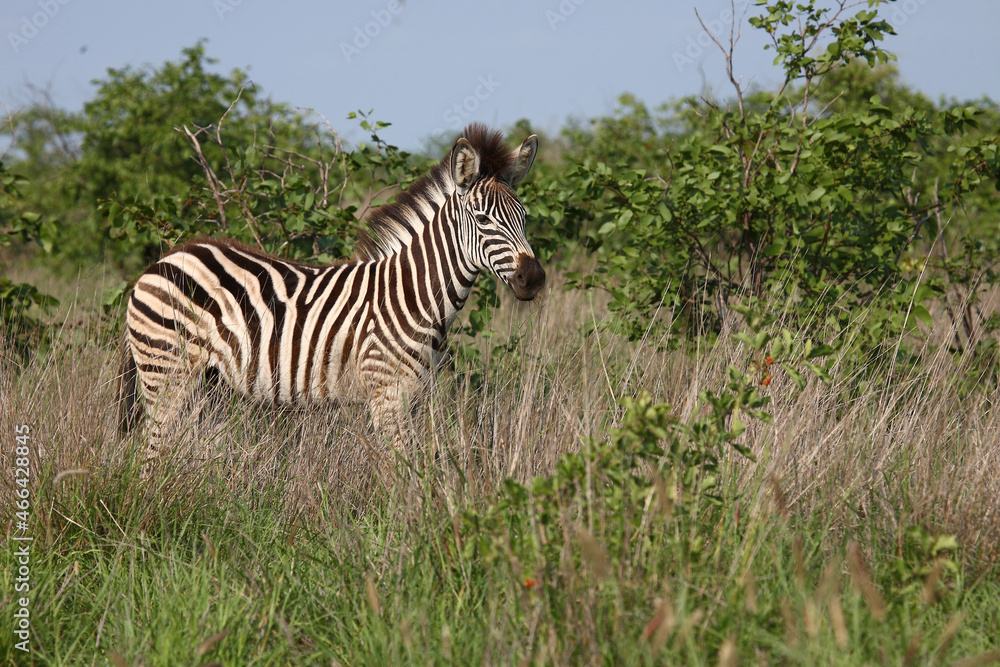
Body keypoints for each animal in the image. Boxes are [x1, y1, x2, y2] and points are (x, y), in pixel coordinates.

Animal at [118, 123, 545, 476]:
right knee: (152, 453)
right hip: (166, 373)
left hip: (208, 385)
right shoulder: (387, 393)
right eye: (482, 219)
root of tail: (163, 261)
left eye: (524, 217)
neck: (414, 294)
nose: (534, 278)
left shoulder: (413, 394)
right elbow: (403, 469)